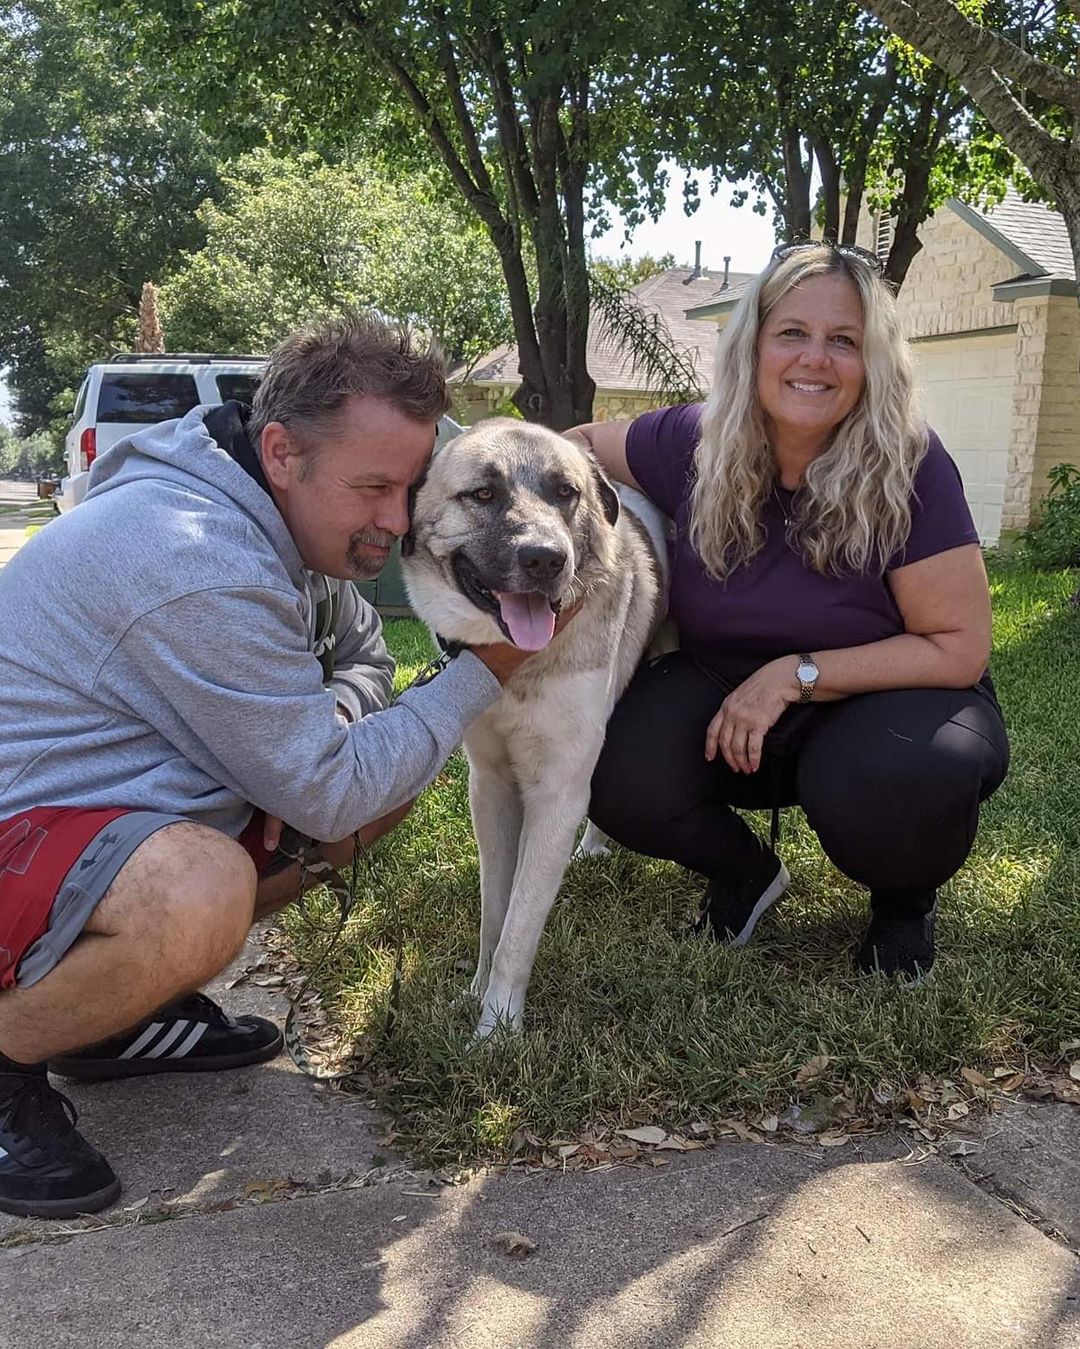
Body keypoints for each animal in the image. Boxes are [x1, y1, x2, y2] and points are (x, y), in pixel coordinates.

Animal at [399, 418, 666, 1030]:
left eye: (565, 492)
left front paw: (496, 1028)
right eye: (482, 494)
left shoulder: (558, 792)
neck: (514, 668)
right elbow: (495, 912)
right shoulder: (491, 786)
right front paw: (477, 992)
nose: (547, 560)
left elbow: (520, 928)